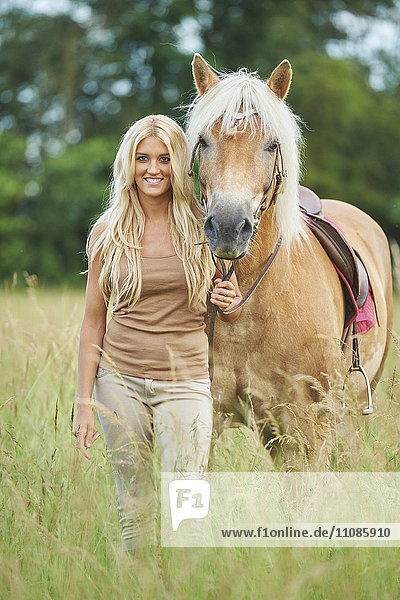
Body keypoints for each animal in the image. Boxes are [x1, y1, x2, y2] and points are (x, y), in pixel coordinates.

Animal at [186, 55, 392, 468]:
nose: (229, 227)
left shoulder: (305, 425)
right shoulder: (208, 417)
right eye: (203, 141)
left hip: (348, 416)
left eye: (271, 145)